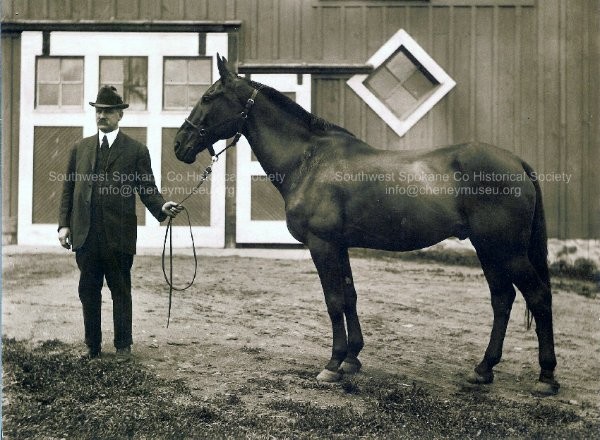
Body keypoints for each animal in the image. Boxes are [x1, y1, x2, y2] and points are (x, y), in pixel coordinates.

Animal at [173, 55, 556, 396]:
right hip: (487, 249)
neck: (309, 161)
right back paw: (484, 368)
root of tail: (517, 162)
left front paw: (332, 364)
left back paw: (546, 377)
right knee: (502, 298)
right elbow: (350, 296)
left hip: (506, 251)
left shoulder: (323, 244)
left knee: (537, 296)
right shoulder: (339, 245)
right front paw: (352, 359)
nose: (179, 144)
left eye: (208, 97)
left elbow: (333, 301)